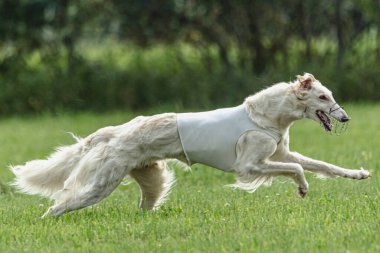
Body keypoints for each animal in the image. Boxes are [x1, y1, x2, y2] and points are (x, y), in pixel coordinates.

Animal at [11, 72, 372, 216]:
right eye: (323, 97)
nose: (345, 118)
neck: (266, 116)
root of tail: (115, 131)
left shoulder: (280, 151)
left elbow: (324, 165)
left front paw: (359, 174)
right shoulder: (248, 166)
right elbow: (296, 168)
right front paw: (302, 188)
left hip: (151, 178)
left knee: (144, 205)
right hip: (102, 183)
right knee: (60, 204)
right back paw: (47, 220)